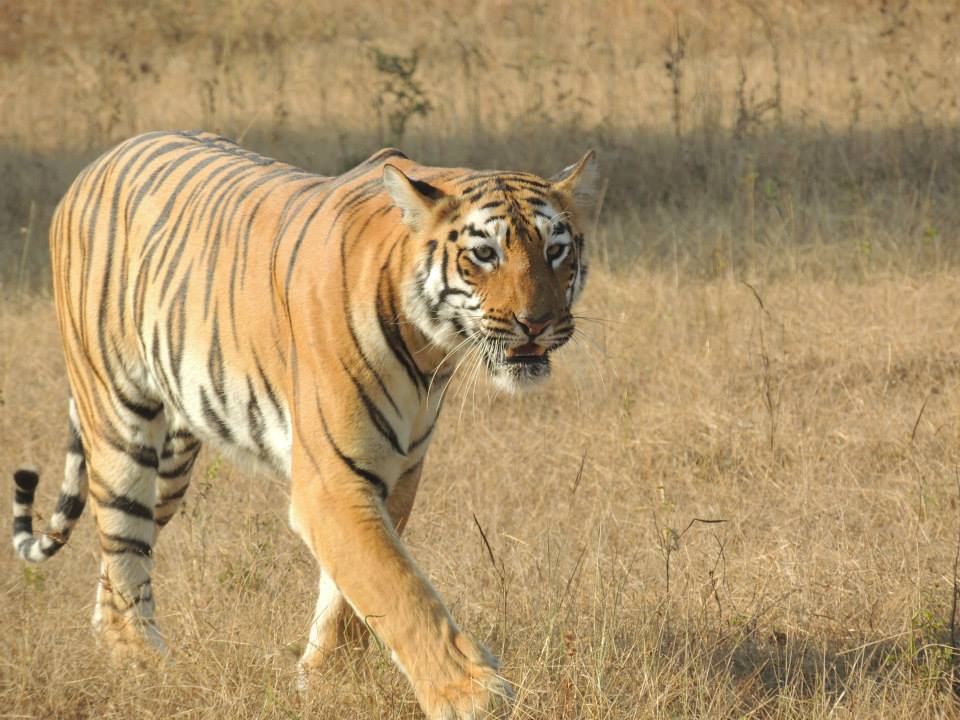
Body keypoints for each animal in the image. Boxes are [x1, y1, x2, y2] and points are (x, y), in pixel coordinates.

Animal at [10, 130, 596, 719]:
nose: (538, 323)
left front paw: (325, 679)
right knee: (122, 542)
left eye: (556, 250)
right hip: (120, 420)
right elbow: (397, 587)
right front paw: (471, 694)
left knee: (116, 557)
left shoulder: (396, 472)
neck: (429, 348)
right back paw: (145, 664)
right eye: (485, 254)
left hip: (171, 463)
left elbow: (351, 592)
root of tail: (100, 161)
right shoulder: (330, 480)